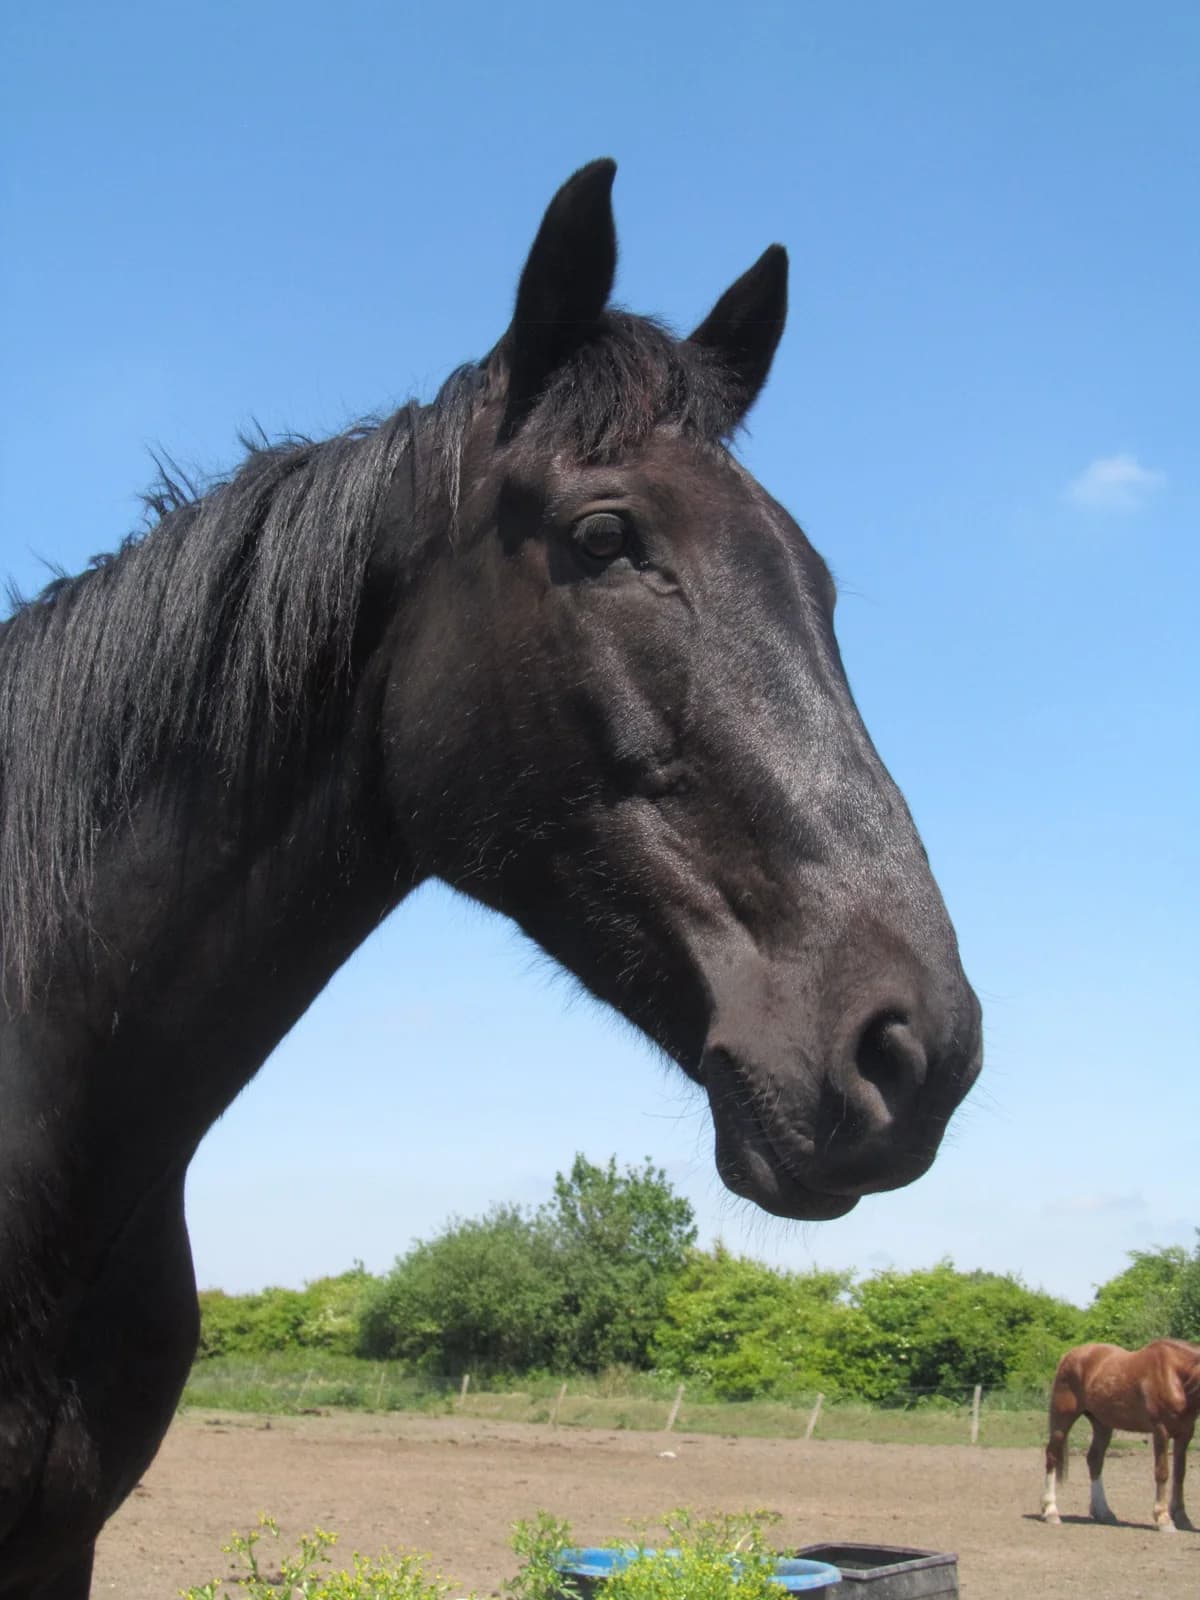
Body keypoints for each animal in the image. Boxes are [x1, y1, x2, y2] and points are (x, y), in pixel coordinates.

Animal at [1041, 1339, 1200, 1531]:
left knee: (1095, 1460)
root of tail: (1068, 1356)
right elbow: (1162, 1472)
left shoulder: (1185, 1433)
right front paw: (1163, 1518)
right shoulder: (1161, 1431)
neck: (1176, 1375)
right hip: (1063, 1419)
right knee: (1052, 1455)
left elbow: (1180, 1474)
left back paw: (1104, 1513)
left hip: (1102, 1424)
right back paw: (1051, 1511)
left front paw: (1182, 1518)